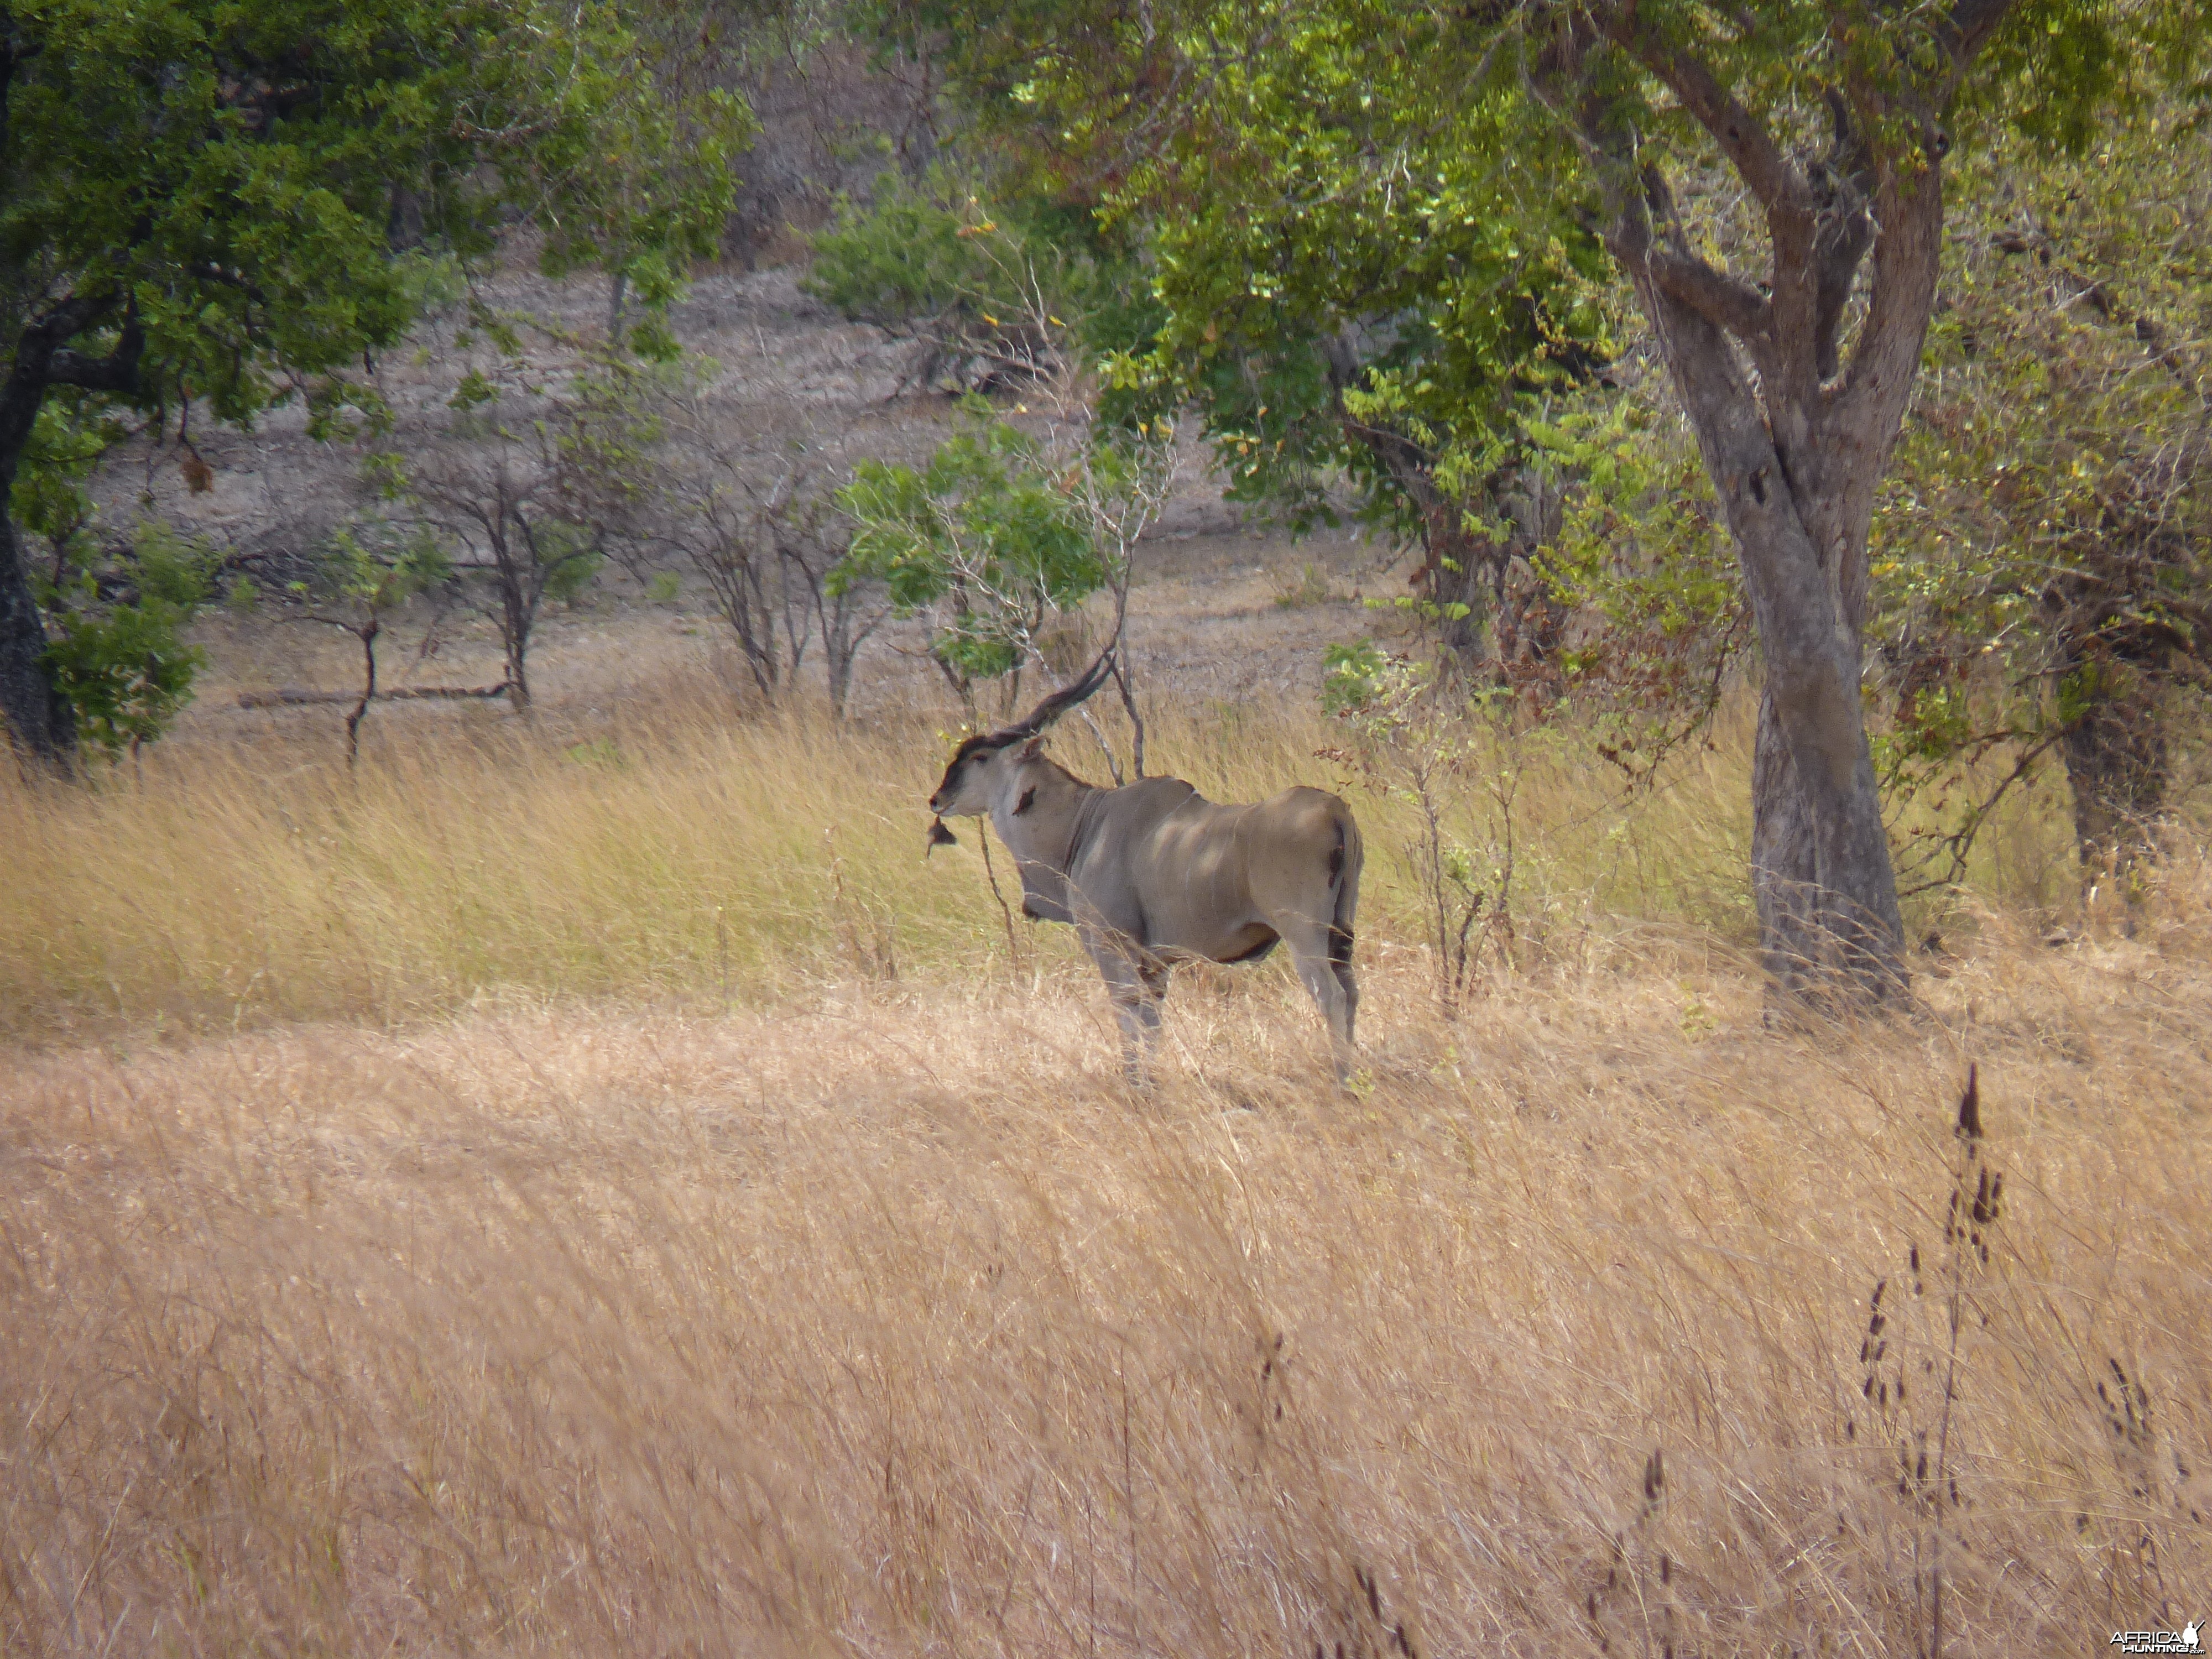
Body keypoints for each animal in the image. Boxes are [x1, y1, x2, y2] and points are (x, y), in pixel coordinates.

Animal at [920, 655, 1363, 1084]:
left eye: (979, 757)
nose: (937, 799)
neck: (1084, 822)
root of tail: (1336, 811)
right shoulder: (1156, 964)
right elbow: (1152, 1023)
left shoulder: (1112, 946)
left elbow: (1128, 1015)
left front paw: (1134, 1084)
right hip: (1341, 932)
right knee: (1352, 991)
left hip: (1303, 932)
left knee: (1331, 995)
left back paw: (1342, 1081)